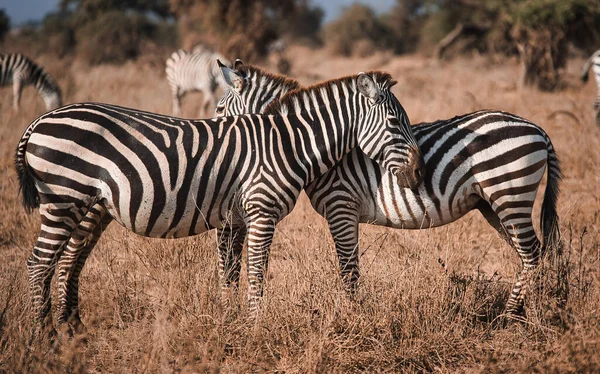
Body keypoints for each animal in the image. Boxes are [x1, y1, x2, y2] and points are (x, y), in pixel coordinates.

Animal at [15, 71, 426, 336]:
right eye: (395, 122)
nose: (419, 173)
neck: (287, 144)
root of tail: (39, 120)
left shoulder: (235, 218)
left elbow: (231, 271)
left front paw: (233, 323)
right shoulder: (261, 212)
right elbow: (256, 271)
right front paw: (256, 328)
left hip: (89, 203)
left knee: (68, 258)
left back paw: (71, 331)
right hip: (63, 198)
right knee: (39, 264)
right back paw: (46, 339)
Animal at [216, 60, 564, 316]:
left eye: (219, 112)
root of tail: (538, 129)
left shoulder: (341, 205)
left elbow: (349, 270)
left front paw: (353, 318)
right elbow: (350, 267)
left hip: (510, 194)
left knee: (532, 252)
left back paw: (511, 315)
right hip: (494, 204)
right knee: (530, 254)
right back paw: (526, 311)